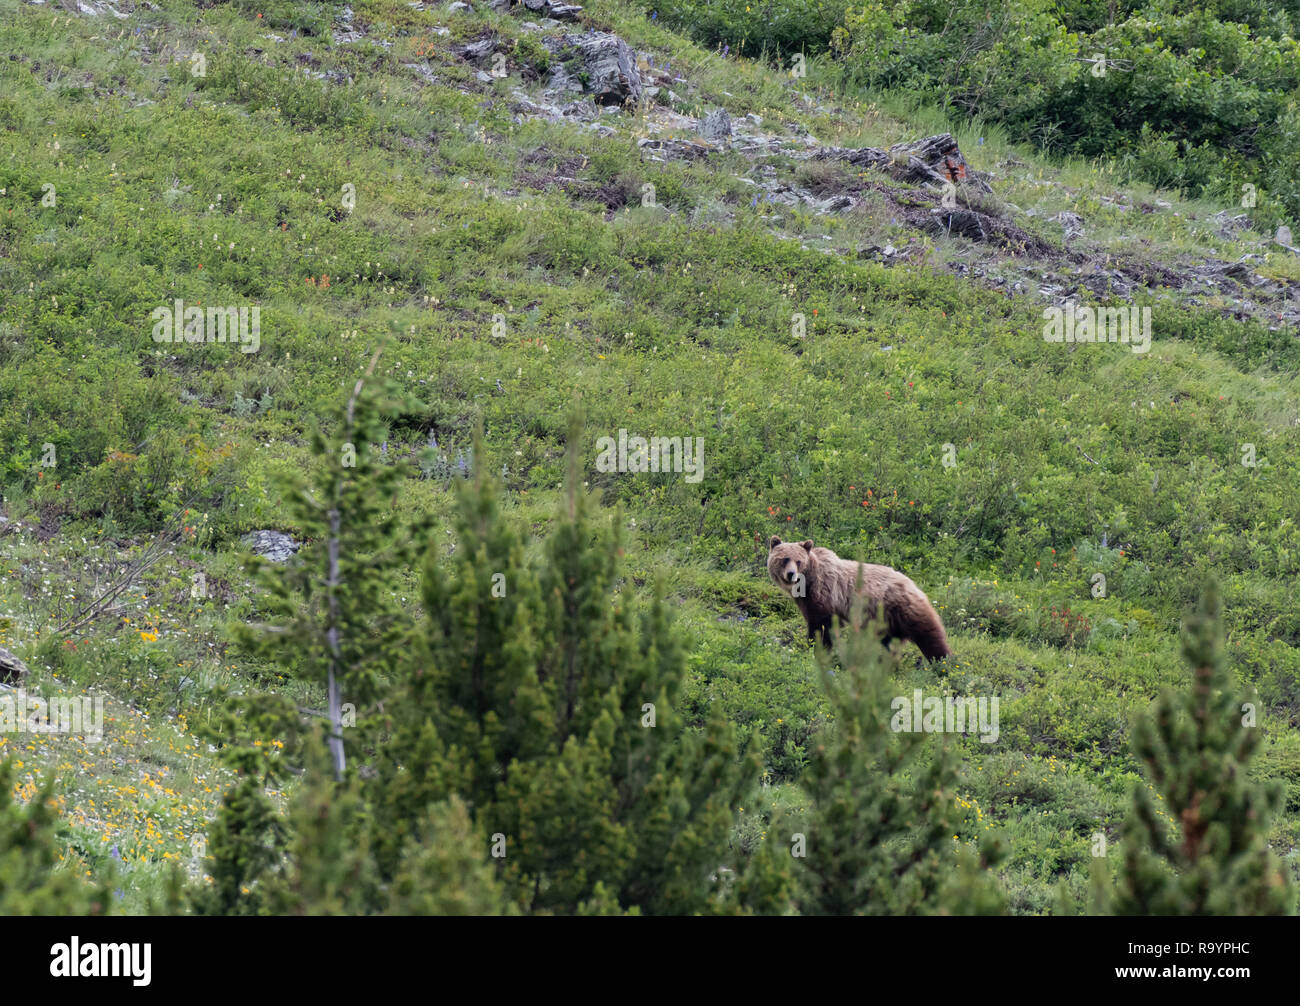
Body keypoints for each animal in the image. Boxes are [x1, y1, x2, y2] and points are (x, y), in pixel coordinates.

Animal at [759, 535, 956, 662]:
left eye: (798, 561)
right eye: (785, 559)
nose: (791, 574)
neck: (808, 583)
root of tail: (915, 586)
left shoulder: (825, 595)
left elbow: (821, 626)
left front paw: (815, 649)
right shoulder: (807, 601)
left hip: (903, 608)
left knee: (930, 635)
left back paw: (944, 662)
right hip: (886, 622)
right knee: (890, 644)